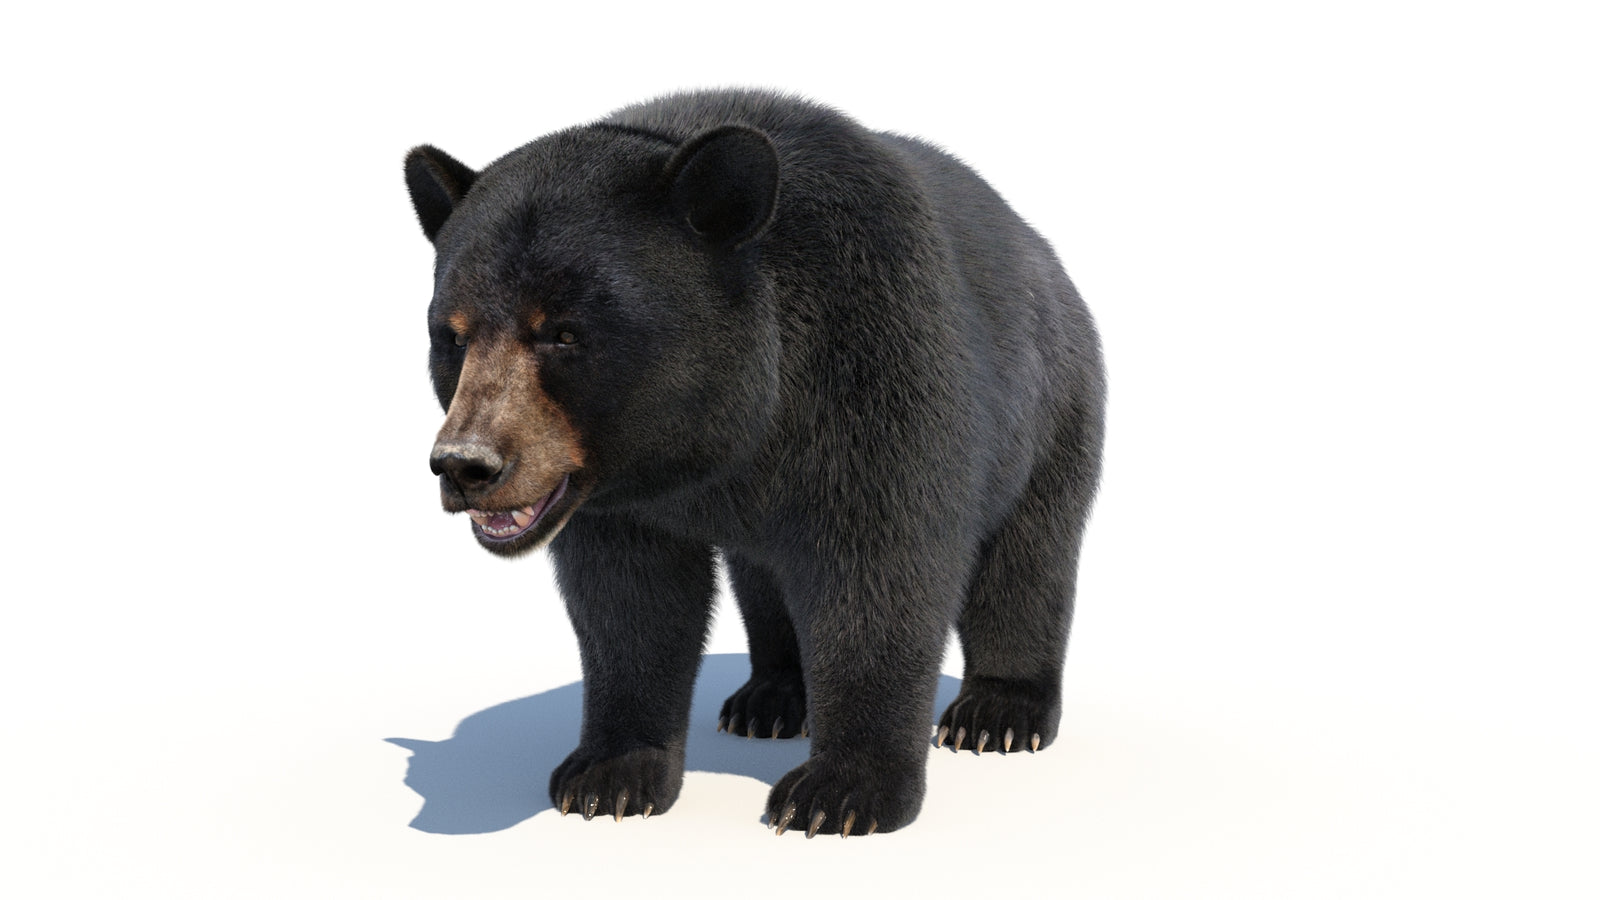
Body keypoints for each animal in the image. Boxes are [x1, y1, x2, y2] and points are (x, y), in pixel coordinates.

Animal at [403, 89, 1105, 837]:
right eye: (453, 334)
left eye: (564, 333)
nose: (465, 465)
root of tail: (1045, 255)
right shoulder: (613, 493)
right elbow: (629, 602)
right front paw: (608, 774)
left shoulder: (877, 370)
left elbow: (881, 573)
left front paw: (840, 792)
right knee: (766, 580)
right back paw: (770, 698)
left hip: (1049, 407)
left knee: (1029, 557)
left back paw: (998, 712)